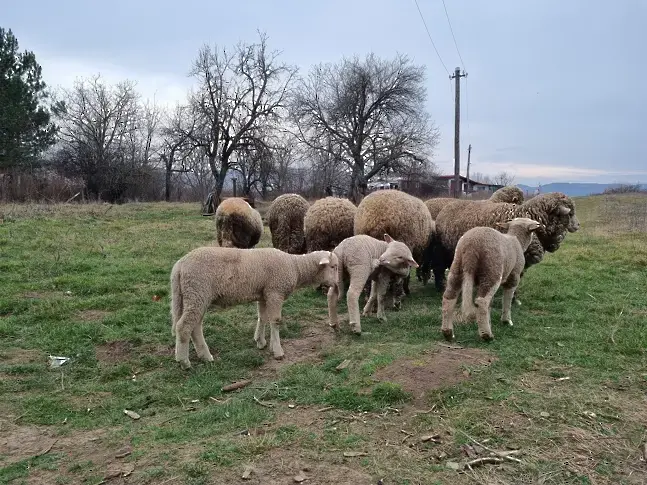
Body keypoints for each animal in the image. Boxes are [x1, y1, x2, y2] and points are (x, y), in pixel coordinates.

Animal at [170, 246, 340, 366]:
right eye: (333, 267)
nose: (337, 284)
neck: (296, 267)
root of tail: (179, 266)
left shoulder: (264, 294)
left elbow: (262, 318)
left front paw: (261, 341)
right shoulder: (275, 292)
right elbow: (275, 321)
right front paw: (278, 351)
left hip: (193, 296)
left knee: (195, 326)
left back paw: (205, 356)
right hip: (197, 291)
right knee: (184, 326)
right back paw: (184, 361)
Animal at [430, 191, 584, 292]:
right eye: (570, 213)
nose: (578, 225)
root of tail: (449, 206)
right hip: (442, 250)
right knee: (438, 268)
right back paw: (441, 287)